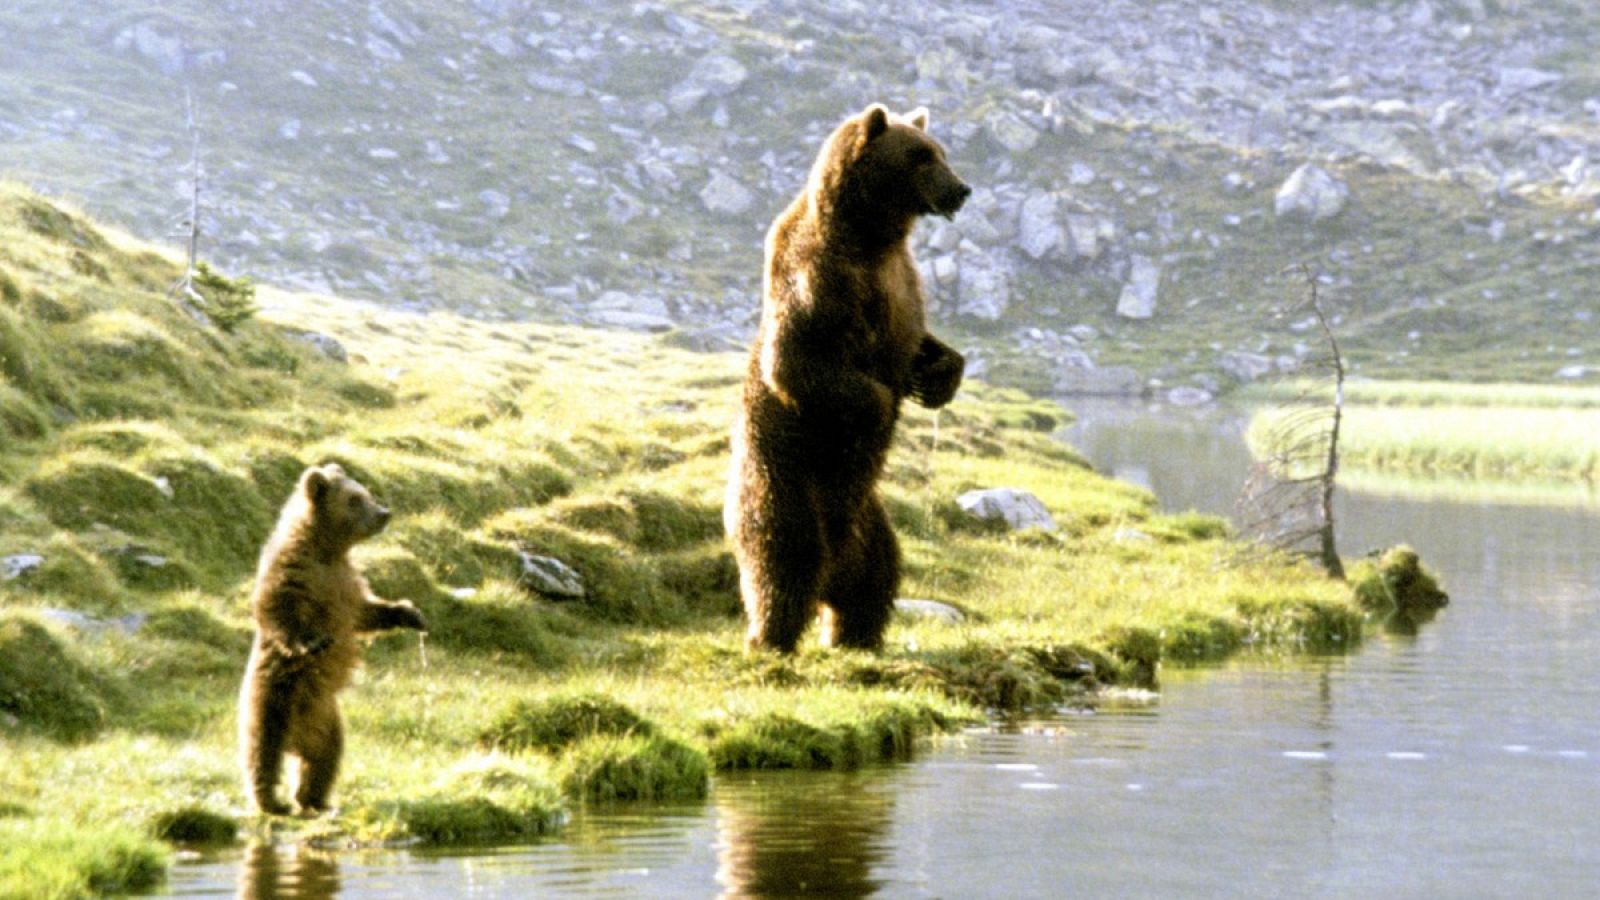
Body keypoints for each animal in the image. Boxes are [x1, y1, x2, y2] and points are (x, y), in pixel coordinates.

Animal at [238, 462, 426, 815]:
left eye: (365, 492)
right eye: (354, 499)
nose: (384, 513)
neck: (326, 549)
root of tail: (297, 739)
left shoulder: (346, 584)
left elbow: (365, 612)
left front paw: (409, 612)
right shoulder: (292, 572)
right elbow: (277, 609)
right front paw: (312, 642)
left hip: (327, 721)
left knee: (324, 759)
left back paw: (315, 799)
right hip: (273, 699)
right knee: (263, 751)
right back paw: (272, 801)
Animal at [724, 103, 970, 654]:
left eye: (941, 152)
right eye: (920, 157)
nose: (961, 189)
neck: (871, 234)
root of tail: (830, 577)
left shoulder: (902, 280)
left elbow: (918, 341)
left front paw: (941, 375)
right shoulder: (820, 276)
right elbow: (795, 361)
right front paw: (879, 405)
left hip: (870, 522)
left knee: (876, 578)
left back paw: (856, 635)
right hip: (786, 487)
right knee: (781, 567)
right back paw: (770, 638)